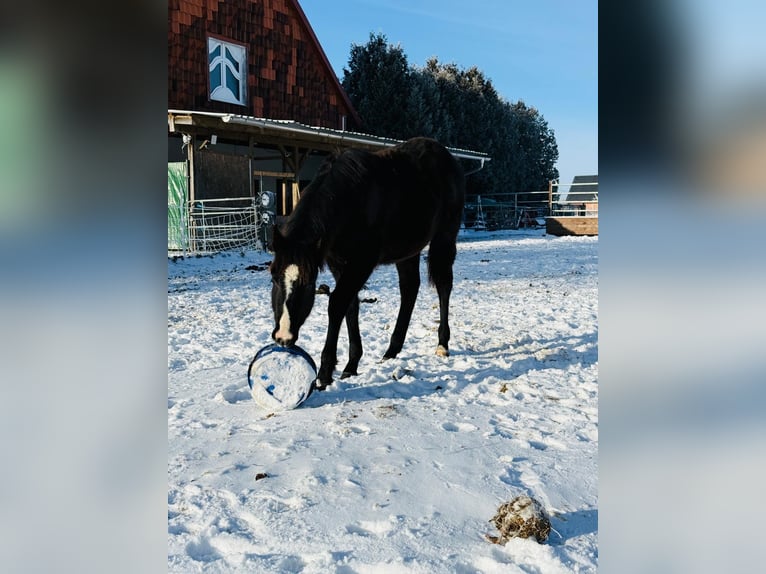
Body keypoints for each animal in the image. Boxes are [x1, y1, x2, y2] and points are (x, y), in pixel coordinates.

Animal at [269, 137, 465, 391]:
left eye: (307, 283)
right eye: (274, 277)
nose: (283, 337)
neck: (349, 199)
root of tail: (447, 158)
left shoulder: (361, 263)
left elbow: (337, 304)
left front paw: (325, 373)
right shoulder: (338, 263)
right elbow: (351, 306)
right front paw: (351, 365)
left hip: (444, 238)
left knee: (443, 285)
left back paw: (442, 345)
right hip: (407, 251)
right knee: (409, 288)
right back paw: (391, 351)